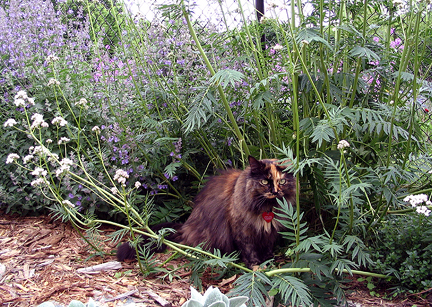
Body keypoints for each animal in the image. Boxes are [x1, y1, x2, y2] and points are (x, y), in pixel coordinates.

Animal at [116, 155, 296, 268]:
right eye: (264, 182)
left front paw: (269, 262)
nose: (275, 191)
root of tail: (185, 226)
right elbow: (249, 251)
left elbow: (268, 249)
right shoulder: (242, 231)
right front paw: (256, 267)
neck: (267, 209)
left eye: (282, 181)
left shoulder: (270, 233)